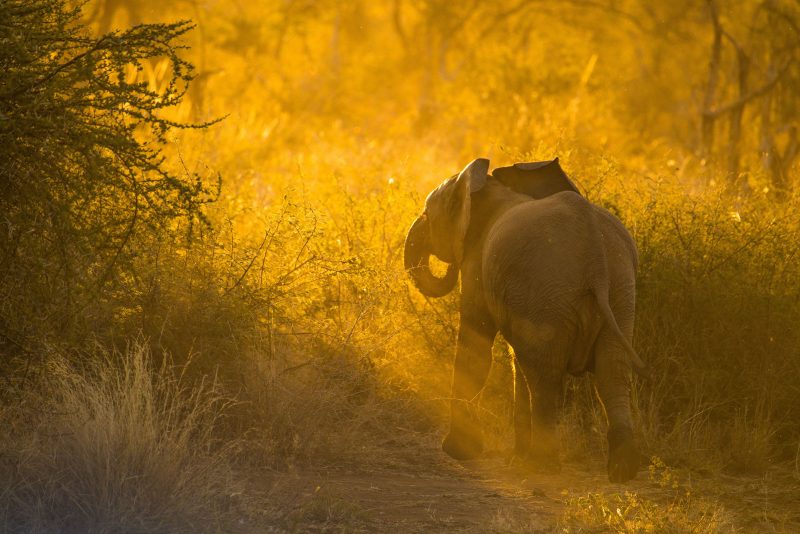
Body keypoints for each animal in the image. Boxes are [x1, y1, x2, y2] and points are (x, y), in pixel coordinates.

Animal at [404, 157, 648, 484]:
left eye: (427, 214)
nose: (448, 266)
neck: (486, 186)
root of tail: (594, 255)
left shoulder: (478, 266)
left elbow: (475, 345)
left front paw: (459, 451)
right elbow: (515, 360)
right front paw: (513, 458)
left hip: (550, 287)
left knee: (546, 374)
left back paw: (542, 465)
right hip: (618, 290)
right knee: (611, 371)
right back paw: (622, 470)